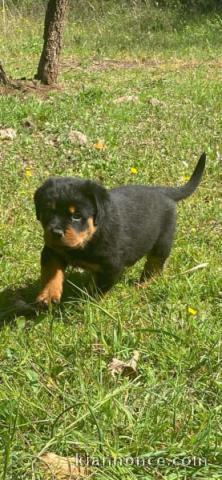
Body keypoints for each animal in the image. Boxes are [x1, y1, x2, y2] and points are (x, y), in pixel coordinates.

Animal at [33, 152, 206, 306]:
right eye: (48, 211)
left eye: (76, 216)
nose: (56, 232)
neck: (89, 238)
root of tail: (162, 191)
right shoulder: (52, 250)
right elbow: (51, 271)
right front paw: (48, 295)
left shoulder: (112, 267)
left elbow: (97, 289)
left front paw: (85, 303)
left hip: (162, 242)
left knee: (154, 266)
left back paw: (143, 286)